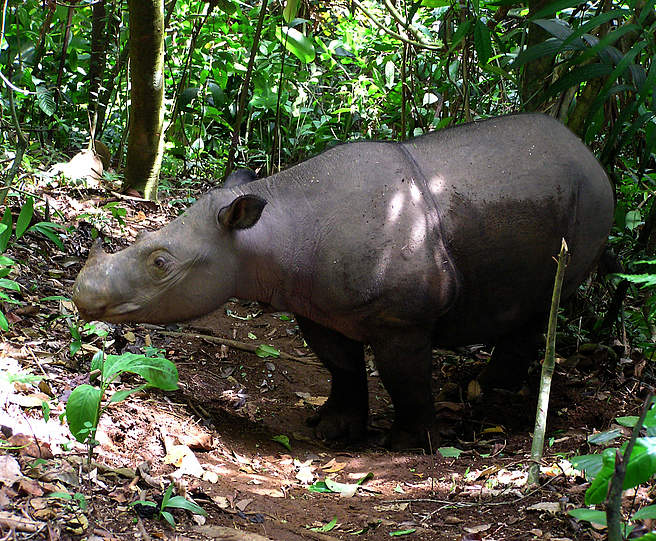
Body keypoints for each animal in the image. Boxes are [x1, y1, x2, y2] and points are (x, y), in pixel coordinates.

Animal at [72, 115, 616, 452]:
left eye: (161, 263)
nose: (81, 297)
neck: (271, 231)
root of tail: (587, 151)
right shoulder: (314, 303)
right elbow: (341, 365)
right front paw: (334, 431)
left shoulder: (403, 317)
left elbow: (404, 376)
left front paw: (409, 445)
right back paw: (482, 388)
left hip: (591, 200)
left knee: (549, 301)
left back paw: (489, 392)